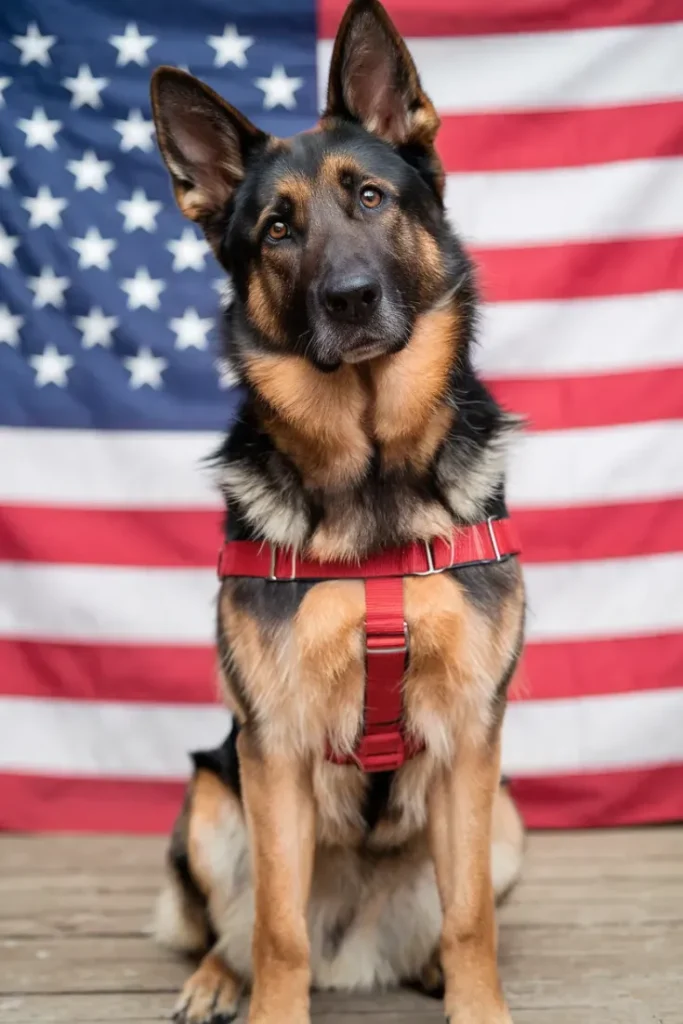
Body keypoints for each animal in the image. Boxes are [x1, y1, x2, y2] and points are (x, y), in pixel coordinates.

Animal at [149, 2, 528, 1024]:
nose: (349, 299)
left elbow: (470, 920)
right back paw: (216, 979)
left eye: (368, 198)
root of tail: (356, 945)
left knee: (447, 915)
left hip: (505, 816)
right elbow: (276, 930)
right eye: (277, 229)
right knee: (239, 926)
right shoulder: (272, 748)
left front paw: (477, 1002)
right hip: (212, 796)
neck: (370, 481)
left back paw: (425, 966)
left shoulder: (470, 736)